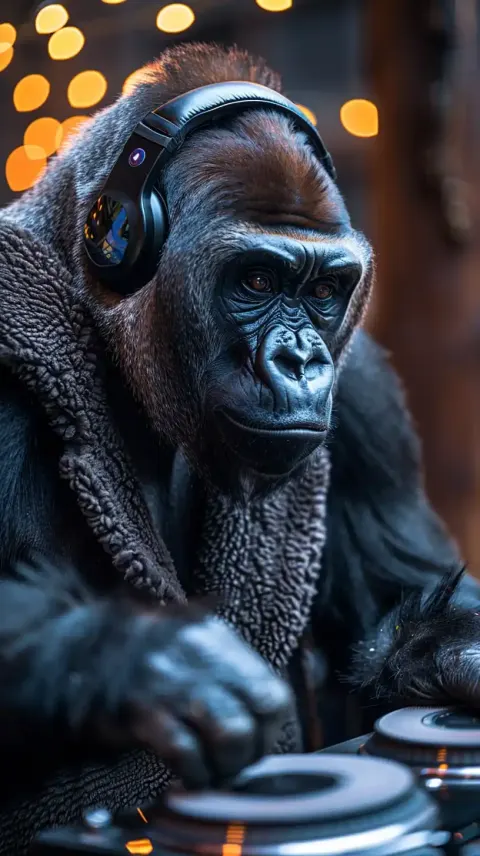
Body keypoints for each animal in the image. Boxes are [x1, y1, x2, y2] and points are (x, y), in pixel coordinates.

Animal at [0, 42, 479, 854]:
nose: (303, 361)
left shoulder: (362, 384)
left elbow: (401, 596)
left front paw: (454, 653)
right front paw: (139, 665)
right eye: (256, 279)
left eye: (324, 291)